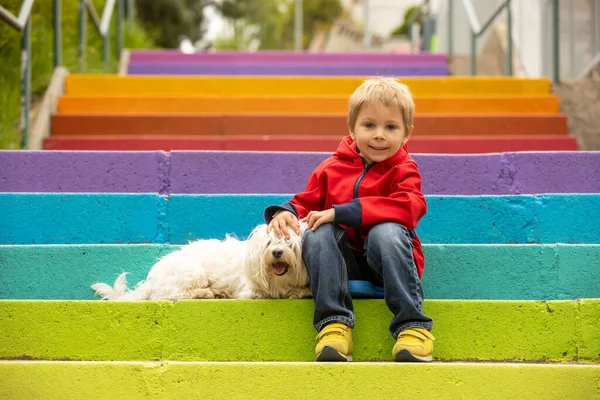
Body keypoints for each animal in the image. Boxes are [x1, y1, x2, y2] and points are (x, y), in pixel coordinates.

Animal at [92, 223, 314, 302]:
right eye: (269, 243)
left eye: (289, 243)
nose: (276, 252)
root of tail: (151, 281)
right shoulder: (252, 291)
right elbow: (281, 291)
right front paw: (299, 291)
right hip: (193, 273)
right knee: (167, 295)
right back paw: (205, 293)